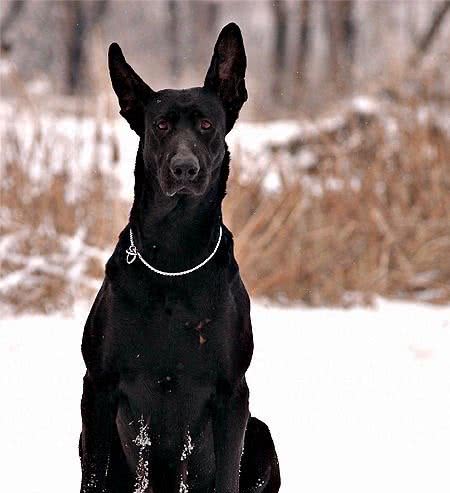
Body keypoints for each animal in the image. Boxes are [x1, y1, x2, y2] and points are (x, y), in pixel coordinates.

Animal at [79, 24, 280, 492]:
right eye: (161, 125)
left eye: (207, 124)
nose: (184, 168)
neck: (174, 257)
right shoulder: (99, 387)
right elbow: (94, 477)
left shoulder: (231, 394)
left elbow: (225, 477)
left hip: (262, 434)